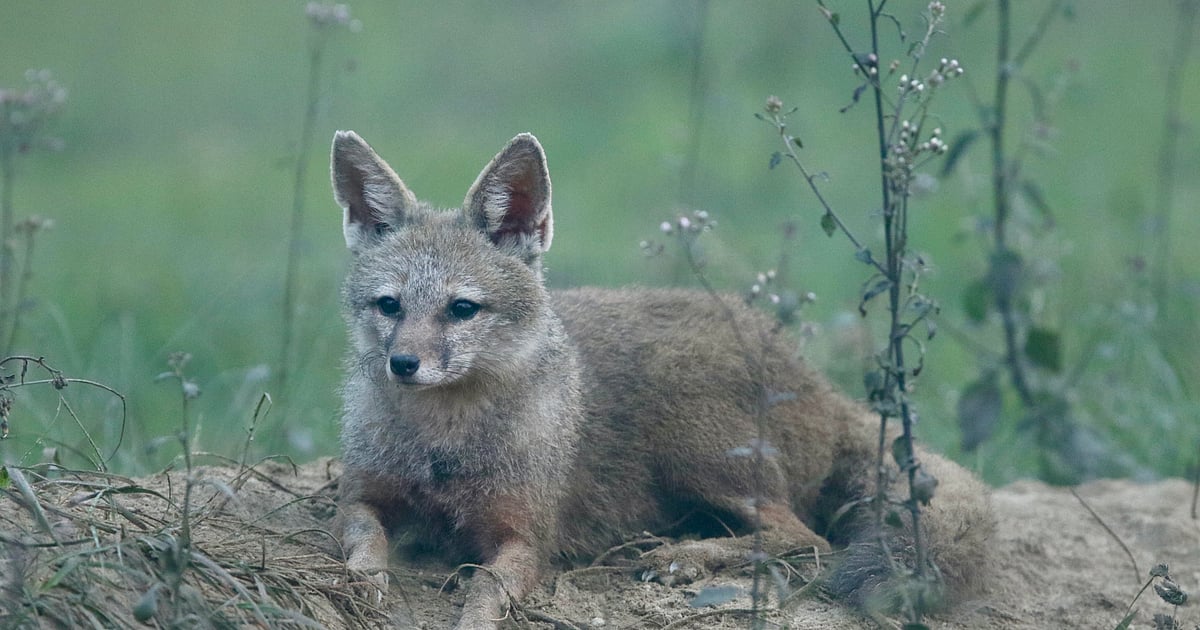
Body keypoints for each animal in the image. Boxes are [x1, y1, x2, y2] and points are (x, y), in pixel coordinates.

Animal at [330, 130, 994, 629]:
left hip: (694, 443)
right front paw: (364, 586)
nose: (403, 364)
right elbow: (362, 544)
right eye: (389, 306)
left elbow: (482, 596)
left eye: (462, 309)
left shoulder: (525, 539)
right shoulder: (361, 496)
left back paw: (686, 555)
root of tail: (820, 382)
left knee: (805, 537)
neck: (441, 446)